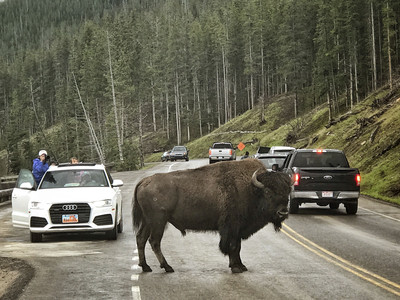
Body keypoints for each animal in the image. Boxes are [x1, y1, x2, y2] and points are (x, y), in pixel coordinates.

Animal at [133, 161, 292, 274]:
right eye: (268, 192)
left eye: (287, 191)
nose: (283, 212)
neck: (251, 190)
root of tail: (144, 181)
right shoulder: (232, 228)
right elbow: (233, 246)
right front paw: (236, 268)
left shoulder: (238, 229)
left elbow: (238, 247)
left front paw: (241, 266)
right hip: (158, 221)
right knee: (154, 242)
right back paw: (167, 267)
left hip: (147, 221)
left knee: (141, 238)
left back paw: (146, 266)